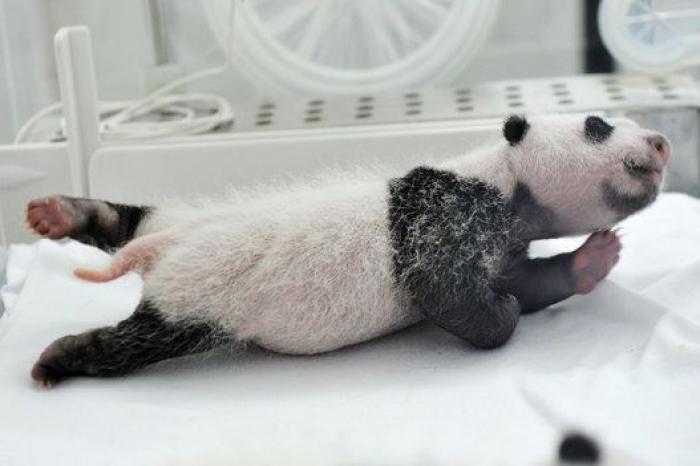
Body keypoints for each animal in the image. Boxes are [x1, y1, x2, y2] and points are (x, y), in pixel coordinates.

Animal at [25, 113, 671, 387]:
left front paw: (592, 260)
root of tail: (166, 247)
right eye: (597, 125)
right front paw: (500, 317)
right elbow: (440, 289)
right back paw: (58, 358)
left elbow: (528, 282)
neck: (505, 181)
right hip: (194, 300)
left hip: (170, 220)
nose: (663, 141)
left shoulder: (502, 243)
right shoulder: (445, 212)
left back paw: (58, 213)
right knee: (135, 341)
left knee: (123, 218)